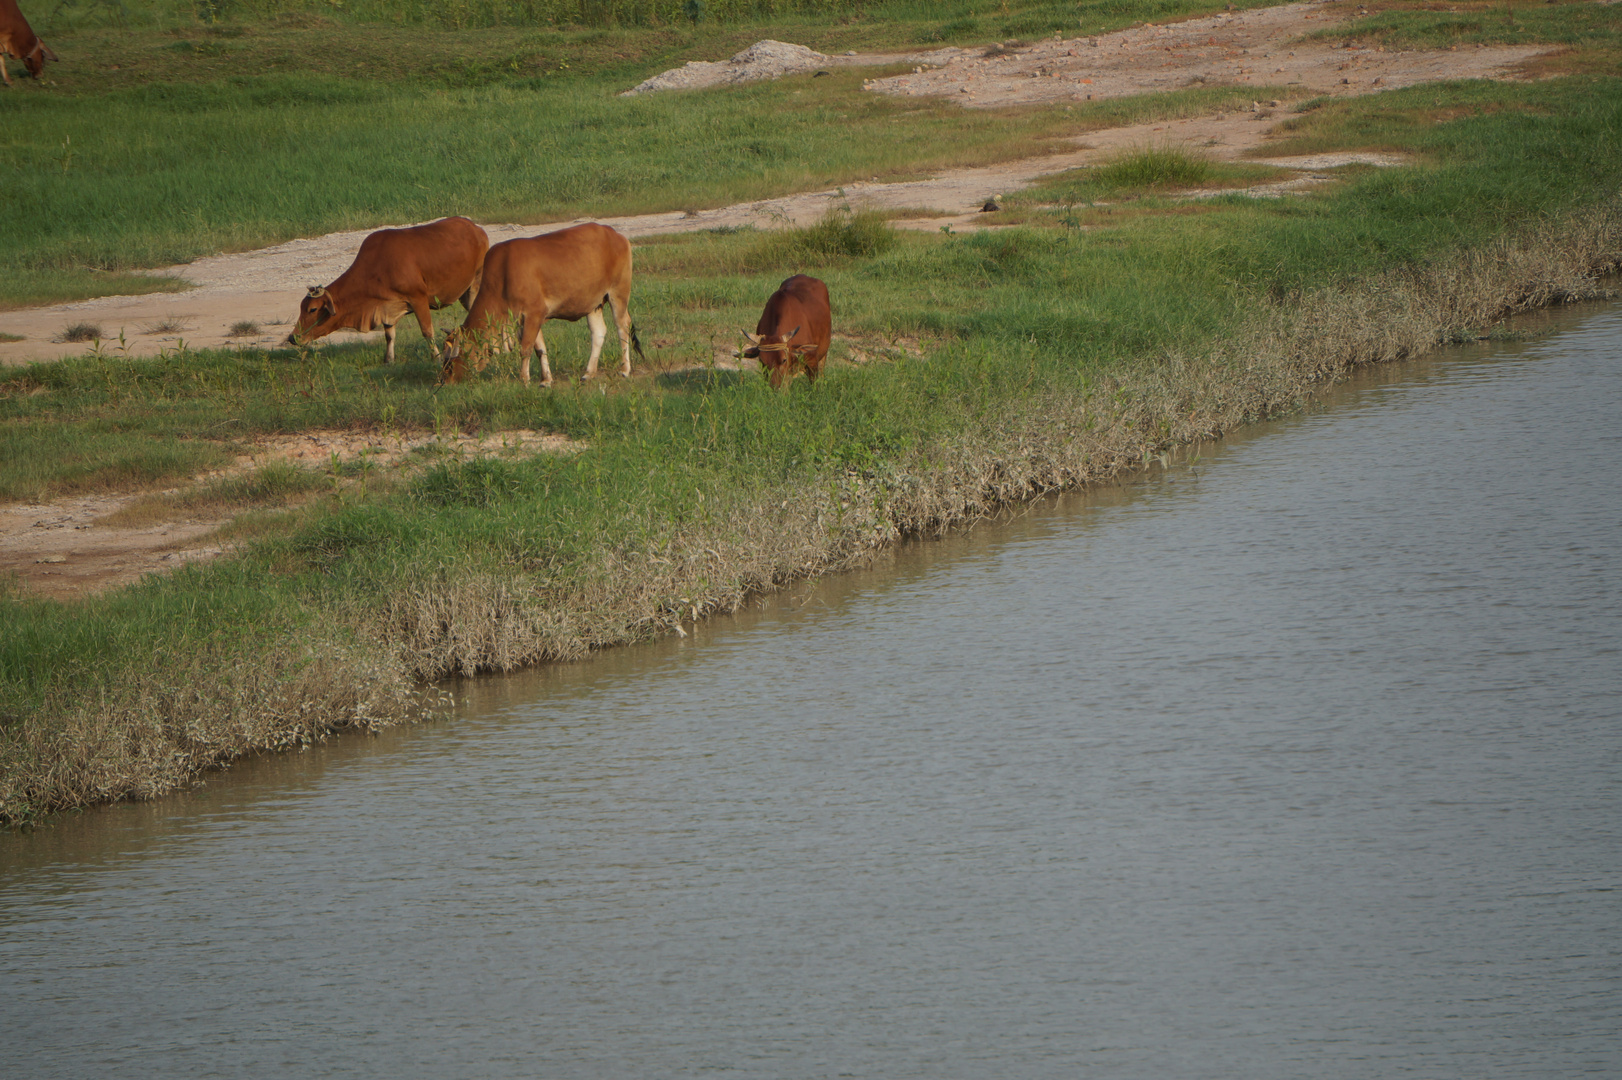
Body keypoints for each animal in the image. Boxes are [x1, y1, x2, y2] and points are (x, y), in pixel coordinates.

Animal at [288, 217, 486, 363]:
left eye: (312, 309)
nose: (292, 338)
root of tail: (475, 227)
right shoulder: (386, 307)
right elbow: (389, 335)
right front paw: (389, 360)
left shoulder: (418, 298)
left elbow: (427, 331)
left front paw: (436, 357)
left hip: (475, 284)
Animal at [447, 220, 648, 384]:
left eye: (450, 360)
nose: (446, 381)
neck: (502, 275)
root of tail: (614, 233)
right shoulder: (529, 318)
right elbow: (540, 349)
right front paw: (546, 380)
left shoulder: (534, 313)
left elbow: (526, 349)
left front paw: (524, 380)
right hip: (593, 302)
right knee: (598, 332)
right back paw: (588, 373)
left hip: (618, 293)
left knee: (622, 327)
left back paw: (625, 369)